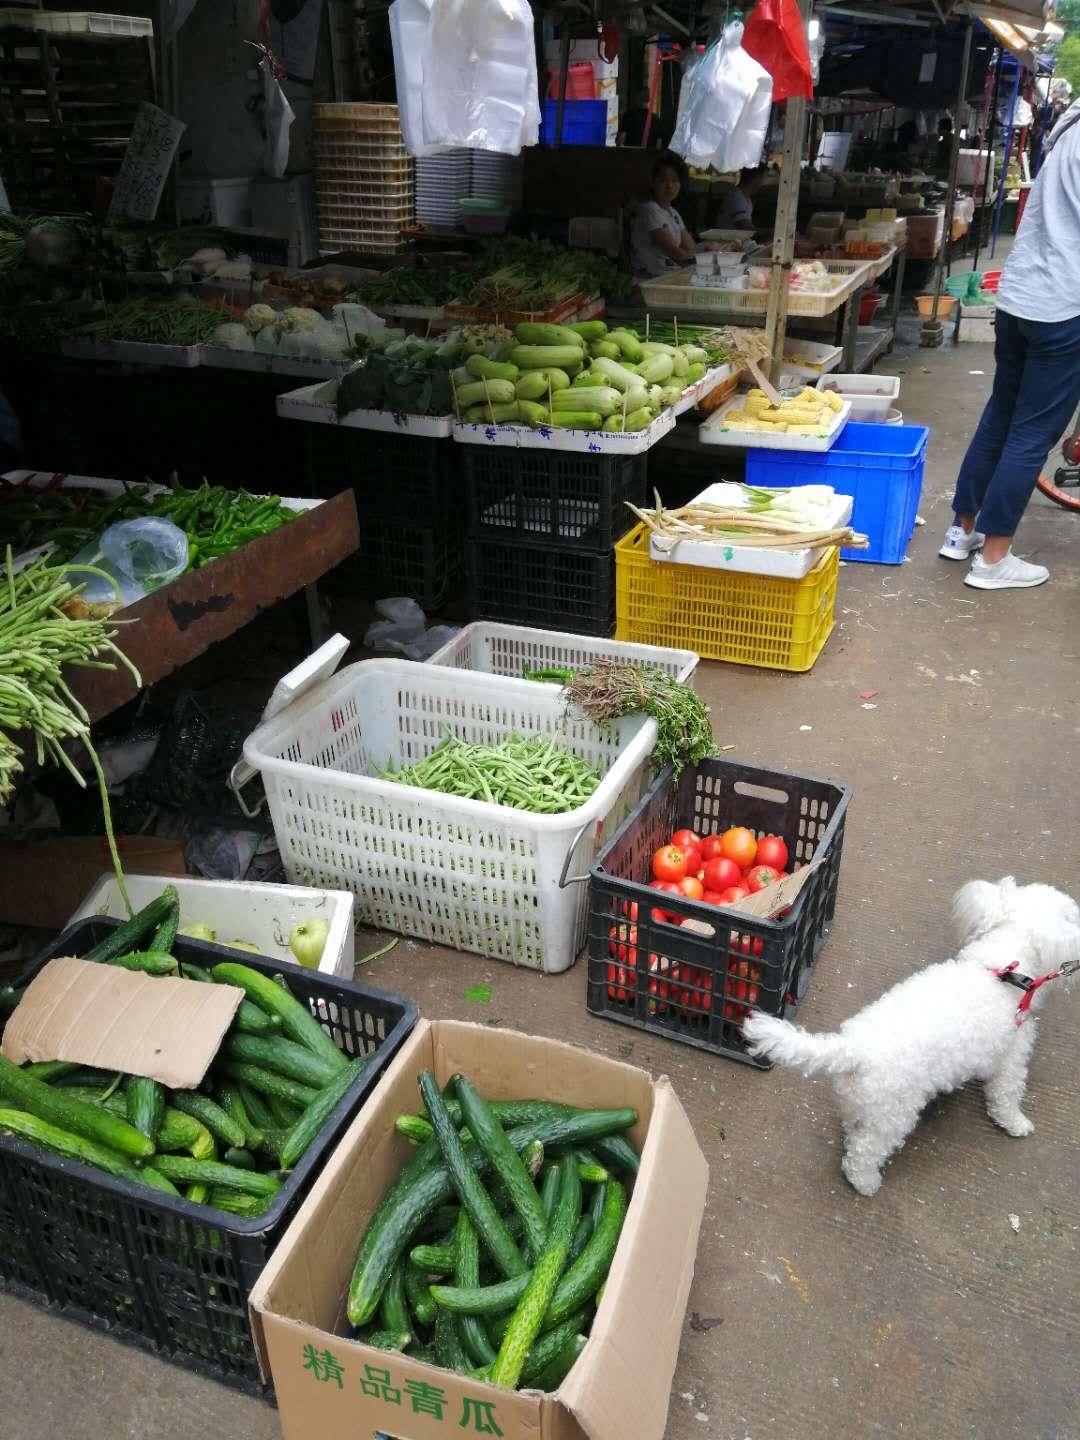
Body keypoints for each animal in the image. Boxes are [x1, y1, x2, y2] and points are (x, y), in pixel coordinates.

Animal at [743, 875, 1080, 1192]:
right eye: (1071, 916)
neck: (1003, 969)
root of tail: (854, 1048)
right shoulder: (1012, 1057)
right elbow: (1006, 1095)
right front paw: (1016, 1123)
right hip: (895, 1115)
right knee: (863, 1153)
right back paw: (866, 1183)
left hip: (866, 1104)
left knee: (855, 1129)